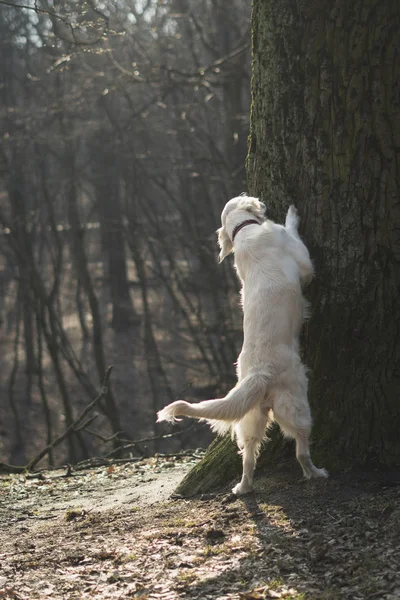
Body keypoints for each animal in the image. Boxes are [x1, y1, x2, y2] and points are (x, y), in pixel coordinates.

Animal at [157, 195, 328, 494]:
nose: (263, 203)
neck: (244, 230)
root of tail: (259, 374)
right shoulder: (303, 259)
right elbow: (294, 234)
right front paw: (292, 213)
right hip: (295, 403)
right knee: (301, 450)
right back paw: (316, 473)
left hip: (250, 419)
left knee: (248, 456)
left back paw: (243, 487)